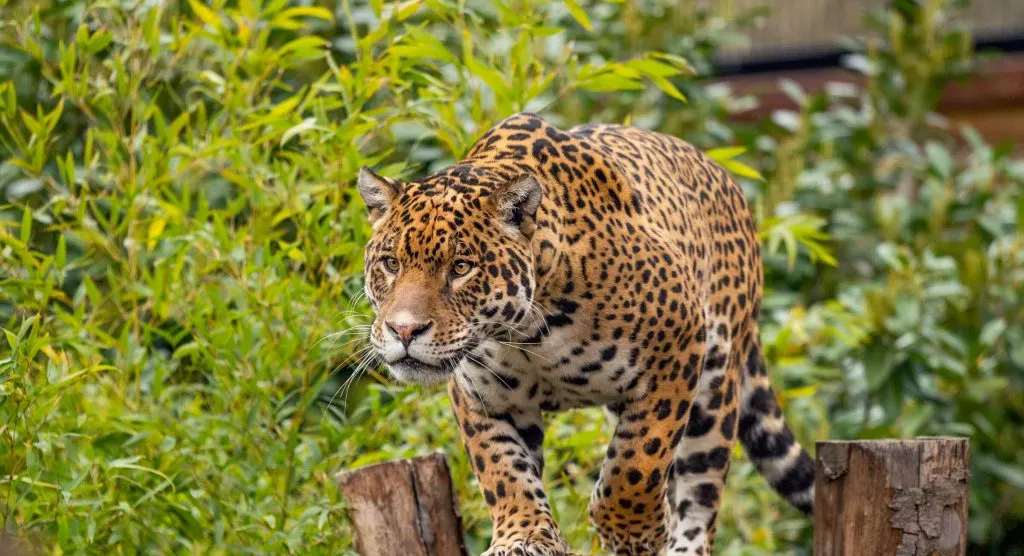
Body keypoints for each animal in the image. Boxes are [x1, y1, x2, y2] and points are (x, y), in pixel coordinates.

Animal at [356, 113, 815, 555]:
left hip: (715, 387)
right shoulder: (484, 397)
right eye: (391, 264)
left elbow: (639, 458)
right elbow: (503, 470)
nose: (404, 329)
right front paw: (523, 537)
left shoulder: (678, 349)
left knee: (701, 493)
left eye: (461, 268)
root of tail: (726, 180)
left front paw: (632, 529)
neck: (527, 332)